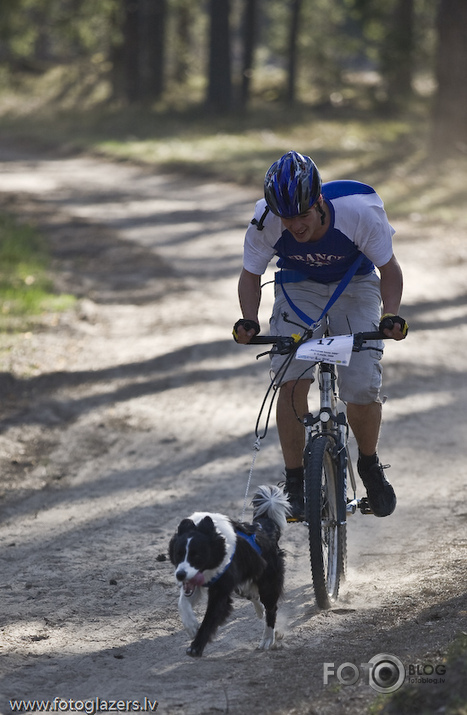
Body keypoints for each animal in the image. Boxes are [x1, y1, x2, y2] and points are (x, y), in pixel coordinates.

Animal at [169, 486, 292, 660]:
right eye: (178, 554)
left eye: (196, 555)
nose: (180, 575)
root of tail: (265, 530)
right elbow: (182, 602)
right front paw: (191, 626)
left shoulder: (220, 589)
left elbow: (210, 617)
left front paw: (195, 647)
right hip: (243, 583)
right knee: (253, 596)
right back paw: (260, 611)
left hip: (268, 580)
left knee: (271, 608)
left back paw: (267, 639)